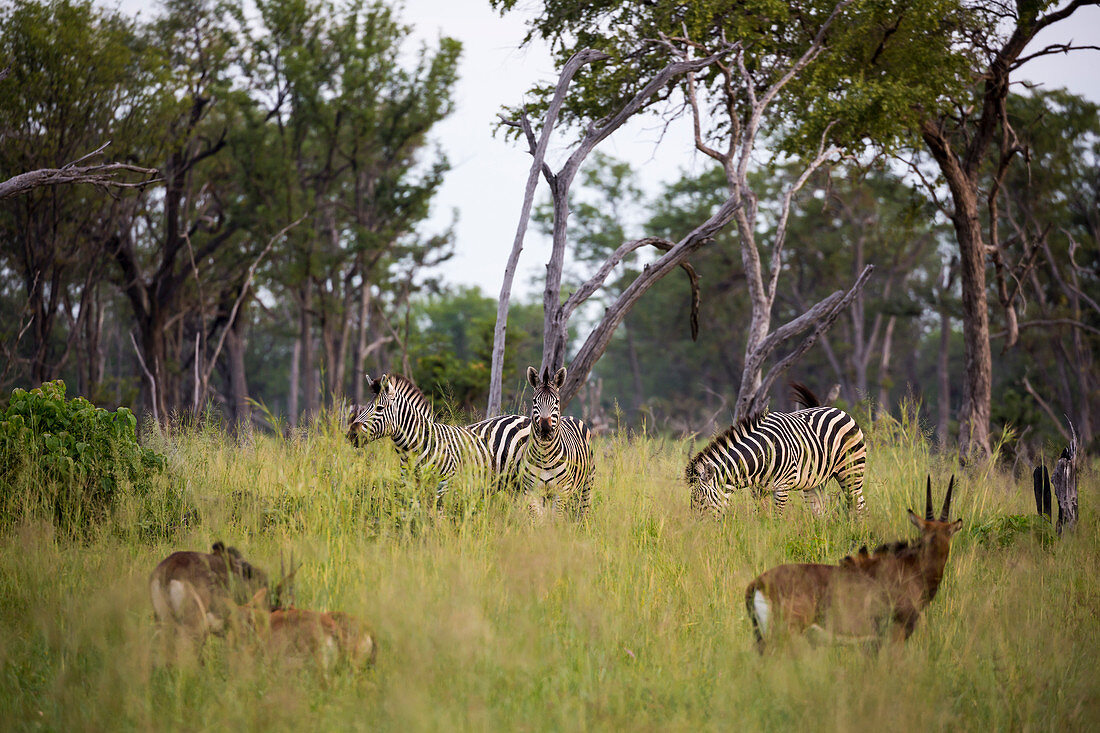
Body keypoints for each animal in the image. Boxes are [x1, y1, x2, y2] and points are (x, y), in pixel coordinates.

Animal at [347, 372, 495, 497]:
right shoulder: (410, 484)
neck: (411, 449)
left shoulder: (443, 485)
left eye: (379, 408)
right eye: (365, 406)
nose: (352, 434)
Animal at [521, 365, 594, 519]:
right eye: (534, 401)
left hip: (587, 484)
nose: (545, 429)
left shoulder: (562, 490)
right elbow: (538, 519)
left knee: (582, 512)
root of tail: (570, 416)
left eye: (556, 402)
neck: (545, 456)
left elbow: (556, 518)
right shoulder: (531, 490)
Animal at [682, 383, 862, 512]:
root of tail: (837, 409)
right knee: (820, 513)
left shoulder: (782, 487)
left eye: (700, 501)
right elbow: (763, 517)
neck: (761, 455)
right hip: (816, 482)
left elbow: (776, 519)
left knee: (858, 505)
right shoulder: (760, 490)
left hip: (851, 470)